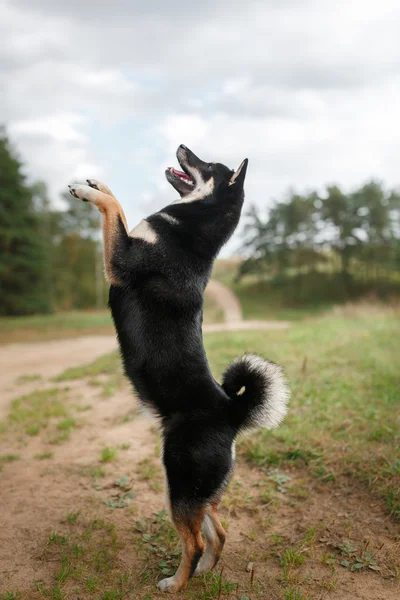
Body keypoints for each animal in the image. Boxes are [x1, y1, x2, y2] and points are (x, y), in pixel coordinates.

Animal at [68, 144, 288, 592]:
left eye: (207, 165)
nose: (183, 147)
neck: (193, 226)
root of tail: (232, 412)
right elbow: (116, 202)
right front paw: (98, 182)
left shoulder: (121, 259)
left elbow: (114, 209)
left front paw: (88, 191)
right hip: (197, 492)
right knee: (218, 532)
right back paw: (203, 574)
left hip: (179, 482)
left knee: (196, 542)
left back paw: (177, 583)